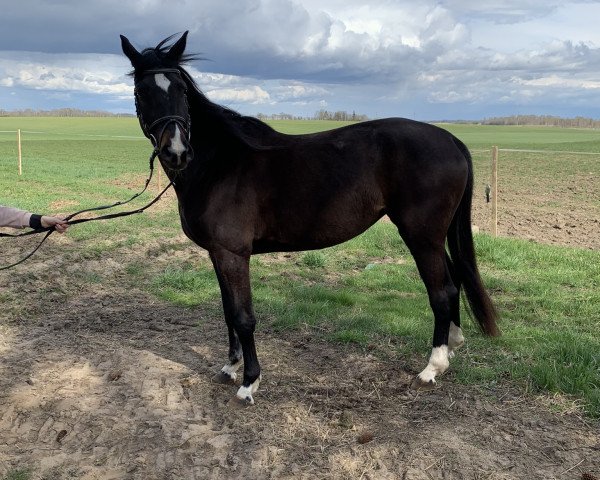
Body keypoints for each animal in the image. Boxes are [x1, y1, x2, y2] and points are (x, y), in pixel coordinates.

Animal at [119, 31, 500, 404]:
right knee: (453, 283)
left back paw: (432, 367)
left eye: (181, 90)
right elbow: (228, 311)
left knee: (442, 291)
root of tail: (450, 139)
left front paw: (249, 382)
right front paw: (230, 368)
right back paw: (452, 346)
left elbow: (243, 317)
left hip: (421, 236)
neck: (219, 165)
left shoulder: (233, 254)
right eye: (141, 91)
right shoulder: (217, 254)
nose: (177, 151)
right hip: (432, 237)